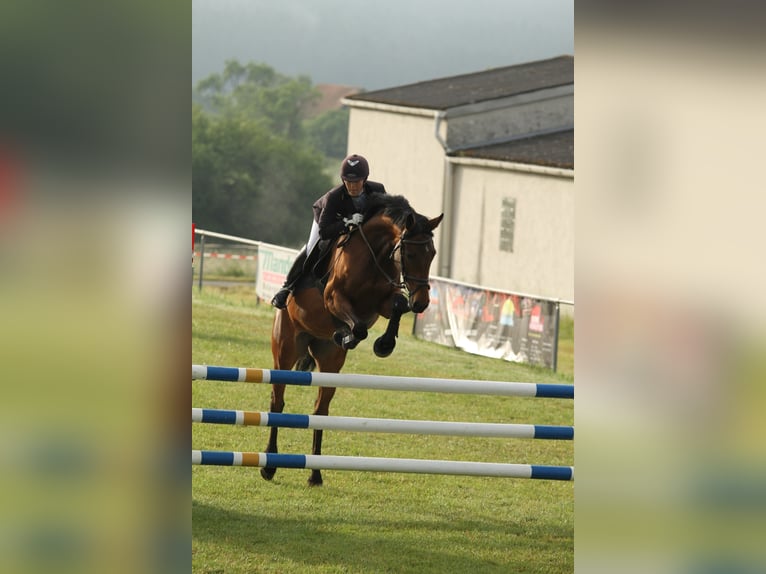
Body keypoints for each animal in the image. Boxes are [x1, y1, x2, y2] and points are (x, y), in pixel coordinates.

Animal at [266, 196, 444, 488]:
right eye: (410, 254)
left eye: (432, 254)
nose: (422, 303)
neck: (375, 255)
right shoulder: (333, 298)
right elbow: (358, 327)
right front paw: (346, 335)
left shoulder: (381, 302)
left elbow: (398, 304)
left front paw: (384, 344)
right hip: (285, 349)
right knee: (277, 403)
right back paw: (269, 466)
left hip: (329, 363)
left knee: (320, 410)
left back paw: (315, 474)